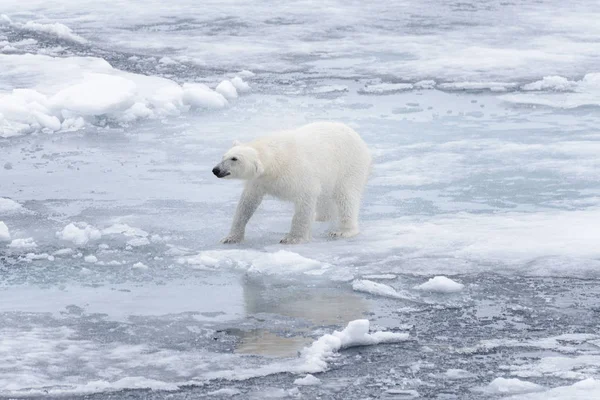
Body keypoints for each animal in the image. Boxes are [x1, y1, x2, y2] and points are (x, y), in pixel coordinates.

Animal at [211, 120, 370, 244]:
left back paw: (342, 231)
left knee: (346, 197)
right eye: (224, 156)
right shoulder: (259, 181)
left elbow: (305, 199)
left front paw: (292, 238)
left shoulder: (298, 173)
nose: (216, 170)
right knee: (325, 198)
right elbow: (247, 203)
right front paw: (231, 237)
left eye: (234, 159)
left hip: (349, 166)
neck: (276, 159)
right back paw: (320, 218)